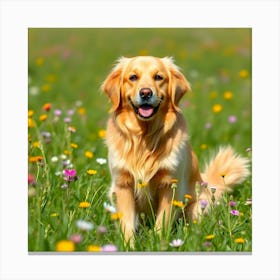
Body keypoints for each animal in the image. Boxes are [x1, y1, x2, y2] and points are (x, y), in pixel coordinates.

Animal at [101, 55, 249, 244]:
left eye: (158, 77)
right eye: (133, 77)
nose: (146, 93)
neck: (145, 138)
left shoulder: (170, 185)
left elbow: (162, 222)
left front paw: (158, 243)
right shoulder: (122, 184)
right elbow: (127, 223)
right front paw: (129, 245)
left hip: (198, 205)